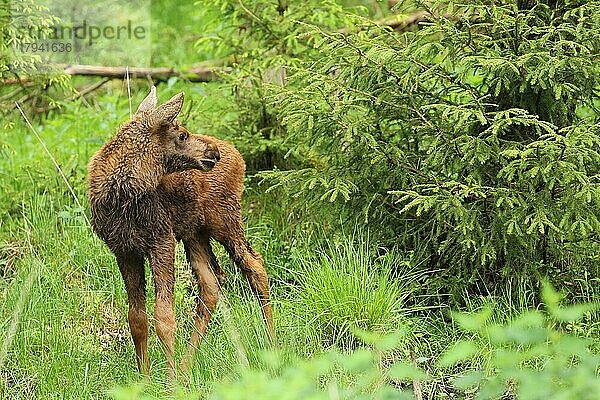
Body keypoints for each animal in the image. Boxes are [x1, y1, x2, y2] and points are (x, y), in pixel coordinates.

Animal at [86, 86, 274, 378]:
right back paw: (187, 369)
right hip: (193, 233)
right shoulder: (124, 250)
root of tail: (240, 158)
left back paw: (274, 347)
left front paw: (169, 380)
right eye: (182, 135)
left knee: (255, 266)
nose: (213, 152)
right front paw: (145, 378)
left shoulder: (161, 239)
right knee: (211, 285)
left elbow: (164, 317)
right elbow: (136, 318)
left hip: (225, 220)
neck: (120, 195)